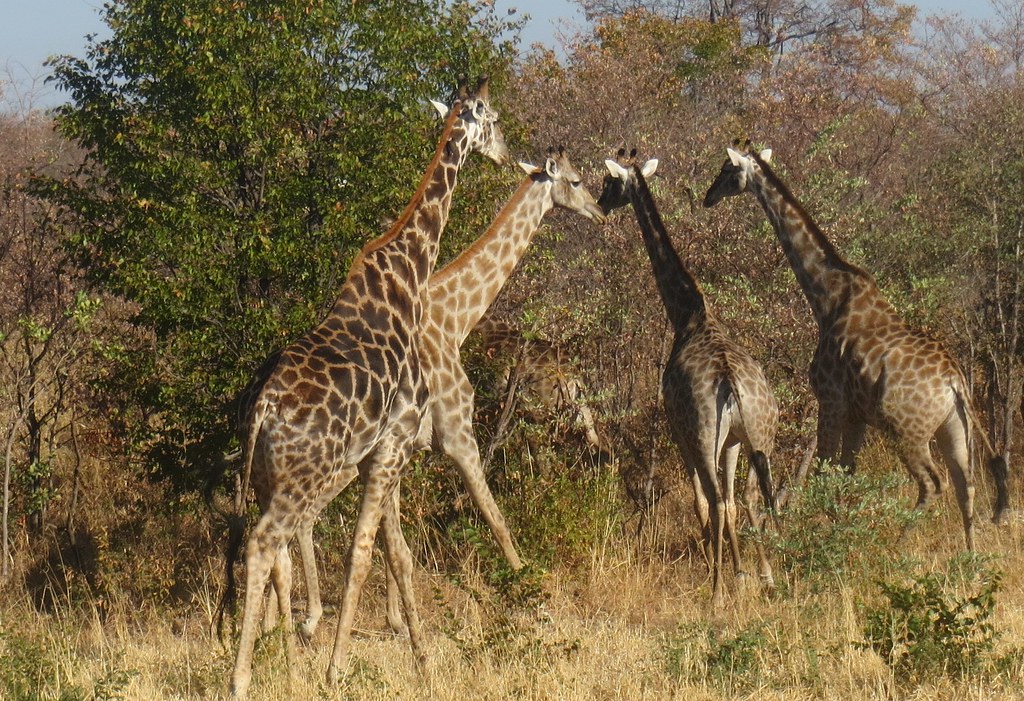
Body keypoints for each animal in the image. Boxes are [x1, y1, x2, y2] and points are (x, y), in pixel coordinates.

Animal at [227, 77, 507, 695]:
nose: (503, 152)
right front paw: (337, 668)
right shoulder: (394, 442)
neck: (409, 273)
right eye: (494, 120)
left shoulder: (383, 451)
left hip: (268, 477)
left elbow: (390, 553)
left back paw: (281, 665)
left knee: (277, 552)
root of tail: (264, 408)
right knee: (265, 543)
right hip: (303, 477)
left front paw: (420, 658)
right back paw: (242, 679)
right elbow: (363, 553)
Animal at [276, 145, 606, 638]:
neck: (455, 316)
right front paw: (531, 595)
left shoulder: (407, 448)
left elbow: (393, 535)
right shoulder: (456, 435)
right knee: (303, 514)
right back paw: (306, 618)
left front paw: (396, 619)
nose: (601, 212)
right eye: (577, 180)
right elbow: (496, 518)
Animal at [598, 147, 774, 605]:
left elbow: (702, 503)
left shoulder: (681, 433)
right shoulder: (731, 441)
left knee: (714, 499)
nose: (601, 205)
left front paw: (722, 572)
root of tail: (730, 382)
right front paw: (742, 572)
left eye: (609, 183)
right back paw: (769, 576)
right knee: (752, 495)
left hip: (701, 434)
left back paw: (715, 593)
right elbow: (733, 502)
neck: (688, 315)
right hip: (759, 435)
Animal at [700, 139, 1011, 548]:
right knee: (966, 485)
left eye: (726, 170)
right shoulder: (857, 414)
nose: (707, 196)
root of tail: (954, 380)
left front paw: (818, 537)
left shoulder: (830, 400)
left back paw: (897, 545)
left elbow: (823, 471)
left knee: (932, 483)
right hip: (954, 427)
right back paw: (970, 556)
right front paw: (839, 532)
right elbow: (846, 474)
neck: (826, 298)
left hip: (906, 429)